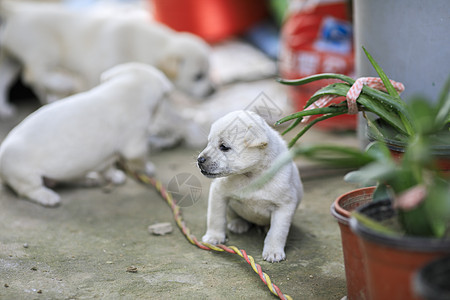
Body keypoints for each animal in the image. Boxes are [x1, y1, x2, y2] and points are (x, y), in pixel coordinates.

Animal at [0, 2, 213, 119]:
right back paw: (62, 83)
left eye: (209, 73)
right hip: (45, 51)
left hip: (10, 62)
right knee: (31, 75)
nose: (213, 91)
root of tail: (19, 11)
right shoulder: (95, 71)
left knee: (8, 82)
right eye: (198, 76)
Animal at [0, 62, 172, 207]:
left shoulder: (107, 155)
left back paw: (89, 179)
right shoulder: (135, 144)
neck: (128, 87)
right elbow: (140, 159)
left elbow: (108, 166)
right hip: (25, 174)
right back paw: (47, 196)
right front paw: (148, 168)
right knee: (29, 189)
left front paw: (114, 176)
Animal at [197, 110, 302, 262]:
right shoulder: (218, 194)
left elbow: (277, 232)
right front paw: (213, 237)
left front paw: (273, 252)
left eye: (224, 147)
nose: (199, 160)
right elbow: (215, 217)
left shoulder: (284, 206)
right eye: (208, 142)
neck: (251, 175)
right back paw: (238, 223)